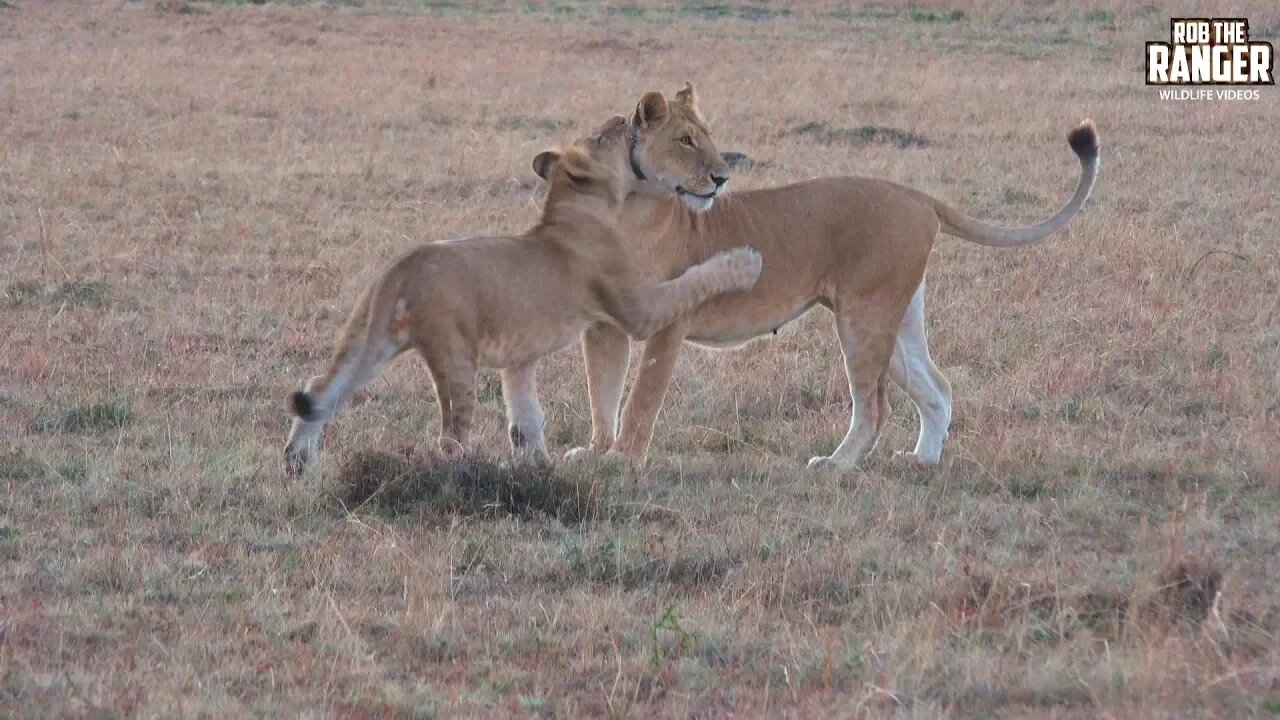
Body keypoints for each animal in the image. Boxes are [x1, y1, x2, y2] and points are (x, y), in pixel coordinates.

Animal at [282, 110, 757, 471]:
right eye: (602, 136)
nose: (623, 117)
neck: (572, 213)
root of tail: (402, 266)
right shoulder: (636, 306)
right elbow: (691, 282)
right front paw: (745, 262)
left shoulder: (519, 357)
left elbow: (527, 416)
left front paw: (539, 467)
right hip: (454, 354)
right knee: (450, 435)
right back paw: (466, 475)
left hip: (371, 339)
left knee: (322, 389)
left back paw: (296, 463)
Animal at [532, 85, 1100, 471]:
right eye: (686, 140)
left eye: (707, 139)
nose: (722, 178)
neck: (624, 207)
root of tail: (917, 196)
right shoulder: (602, 327)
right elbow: (602, 394)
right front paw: (595, 452)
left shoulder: (668, 322)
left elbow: (641, 399)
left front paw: (623, 461)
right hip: (894, 319)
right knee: (936, 386)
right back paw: (921, 461)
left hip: (864, 316)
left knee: (874, 406)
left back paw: (837, 465)